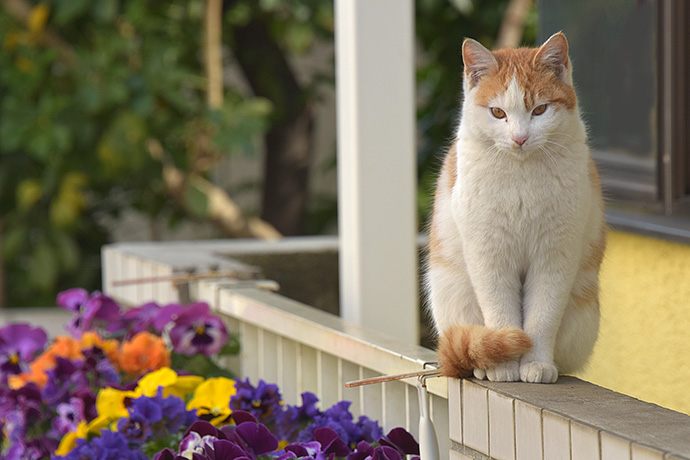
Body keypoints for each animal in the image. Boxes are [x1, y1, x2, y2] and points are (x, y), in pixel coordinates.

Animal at [424, 33, 600, 384]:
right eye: (497, 112)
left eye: (540, 110)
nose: (519, 138)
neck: (521, 176)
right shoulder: (489, 253)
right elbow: (500, 311)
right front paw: (503, 362)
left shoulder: (554, 255)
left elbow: (543, 317)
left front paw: (536, 364)